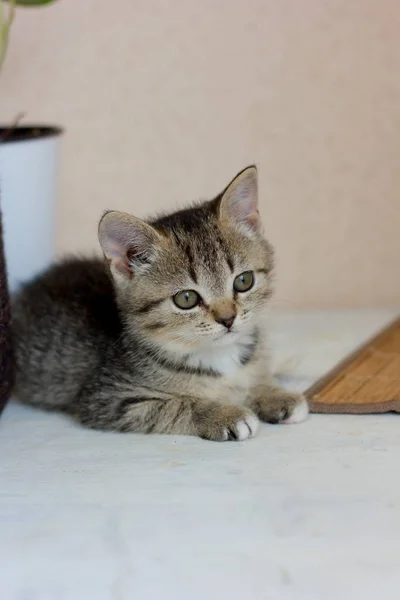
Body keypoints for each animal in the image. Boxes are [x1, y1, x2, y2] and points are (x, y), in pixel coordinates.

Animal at [10, 168, 308, 440]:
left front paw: (274, 394)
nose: (227, 319)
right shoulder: (109, 399)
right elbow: (178, 406)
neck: (217, 356)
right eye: (186, 299)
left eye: (243, 281)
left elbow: (254, 378)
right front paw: (223, 414)